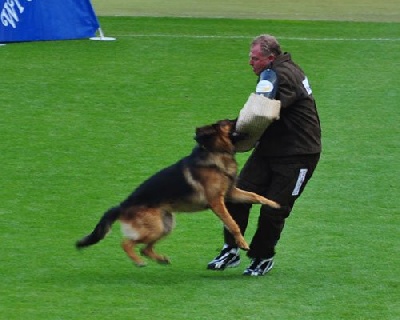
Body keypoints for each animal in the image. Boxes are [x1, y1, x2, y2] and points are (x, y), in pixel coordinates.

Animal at [76, 119, 280, 266]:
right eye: (229, 122)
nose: (243, 119)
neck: (215, 152)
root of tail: (122, 206)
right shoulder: (217, 202)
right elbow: (233, 224)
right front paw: (243, 243)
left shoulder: (231, 194)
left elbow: (256, 196)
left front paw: (274, 203)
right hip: (156, 227)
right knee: (127, 243)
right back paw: (138, 261)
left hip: (165, 224)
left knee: (144, 248)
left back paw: (160, 259)